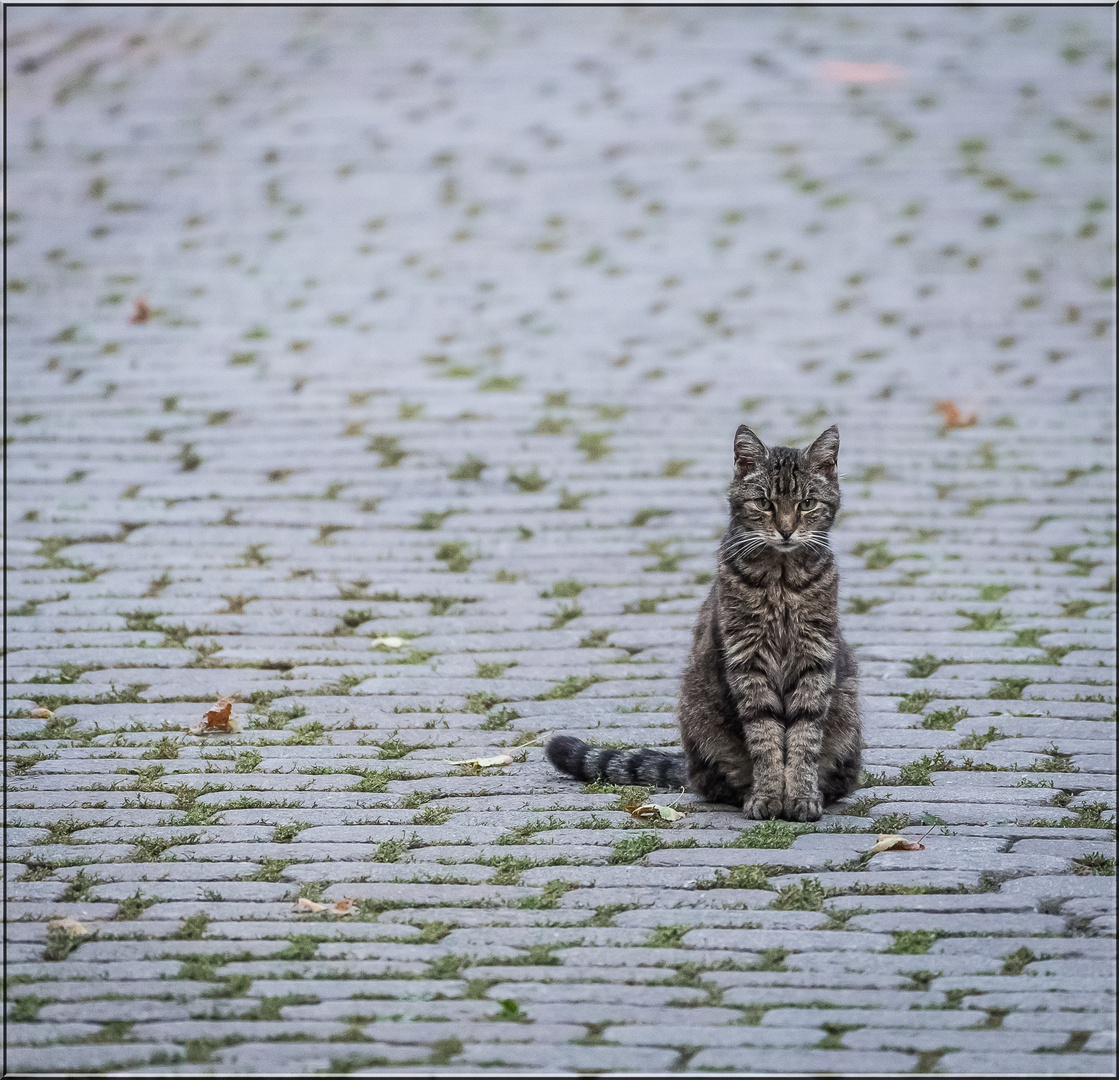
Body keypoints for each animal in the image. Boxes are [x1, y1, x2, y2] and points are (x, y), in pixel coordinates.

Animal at [546, 420, 859, 819]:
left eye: (806, 504)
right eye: (764, 503)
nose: (787, 530)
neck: (782, 580)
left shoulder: (815, 657)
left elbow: (804, 738)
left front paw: (801, 797)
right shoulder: (747, 659)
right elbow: (765, 736)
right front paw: (768, 796)